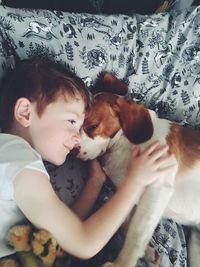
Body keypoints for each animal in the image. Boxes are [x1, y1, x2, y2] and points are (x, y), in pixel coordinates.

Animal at [77, 74, 200, 267]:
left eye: (91, 127)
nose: (72, 150)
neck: (124, 144)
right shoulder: (130, 193)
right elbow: (127, 224)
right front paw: (149, 252)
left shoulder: (158, 187)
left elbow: (136, 233)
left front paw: (121, 263)